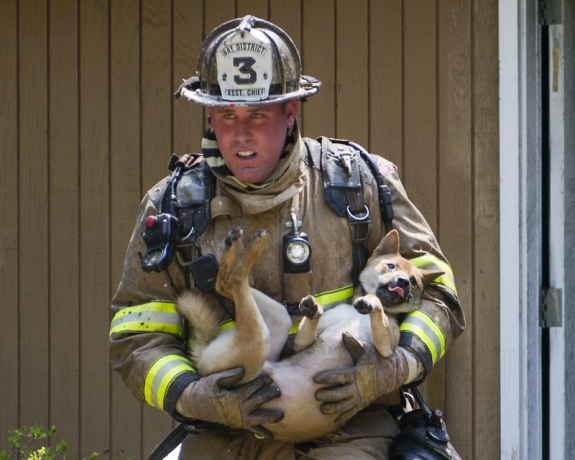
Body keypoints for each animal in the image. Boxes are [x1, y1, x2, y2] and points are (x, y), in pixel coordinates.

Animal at [178, 228, 444, 440]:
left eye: (414, 281)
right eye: (391, 266)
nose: (403, 283)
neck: (357, 314)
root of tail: (203, 363)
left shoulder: (385, 349)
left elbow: (377, 311)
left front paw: (370, 302)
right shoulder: (302, 342)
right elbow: (311, 328)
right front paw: (313, 311)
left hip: (258, 340)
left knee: (230, 281)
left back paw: (245, 246)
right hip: (267, 332)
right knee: (227, 282)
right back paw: (241, 246)